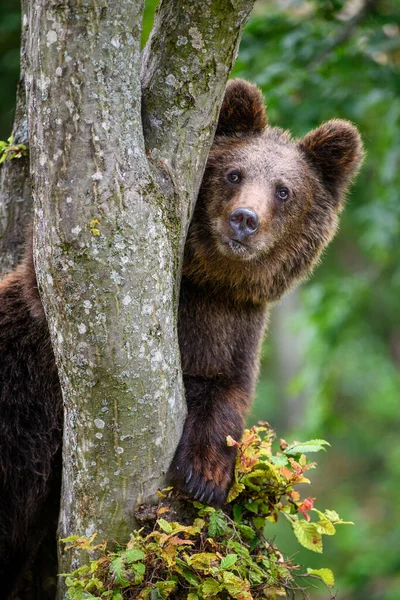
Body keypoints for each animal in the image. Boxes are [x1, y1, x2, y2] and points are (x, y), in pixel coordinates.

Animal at [0, 78, 362, 596]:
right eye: (233, 173)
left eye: (284, 190)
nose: (245, 219)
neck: (208, 280)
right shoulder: (51, 309)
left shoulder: (232, 328)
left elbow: (226, 394)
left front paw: (206, 475)